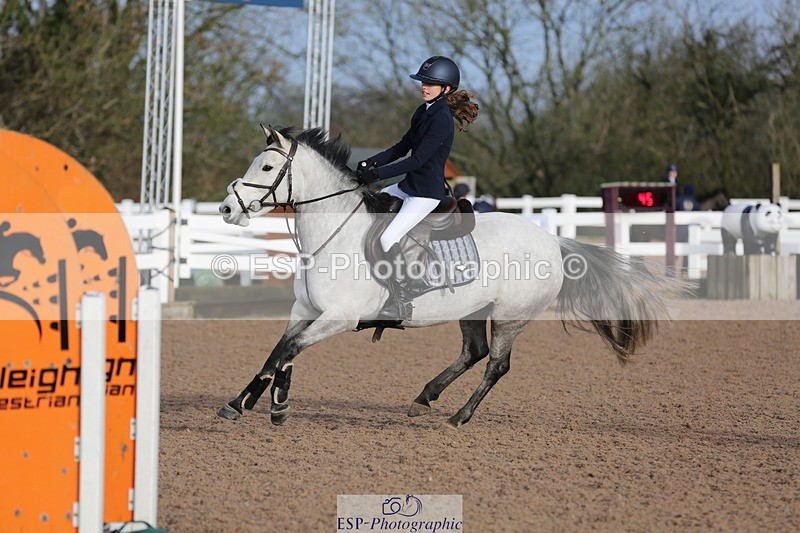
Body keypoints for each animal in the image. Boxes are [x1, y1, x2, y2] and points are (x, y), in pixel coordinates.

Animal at [216, 125, 686, 428]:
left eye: (265, 169)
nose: (226, 208)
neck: (335, 232)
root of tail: (553, 241)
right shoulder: (305, 309)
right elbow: (278, 351)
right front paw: (252, 402)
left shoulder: (339, 317)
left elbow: (288, 350)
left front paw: (266, 404)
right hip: (473, 310)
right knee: (474, 352)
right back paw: (425, 398)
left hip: (511, 317)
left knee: (496, 365)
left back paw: (459, 417)